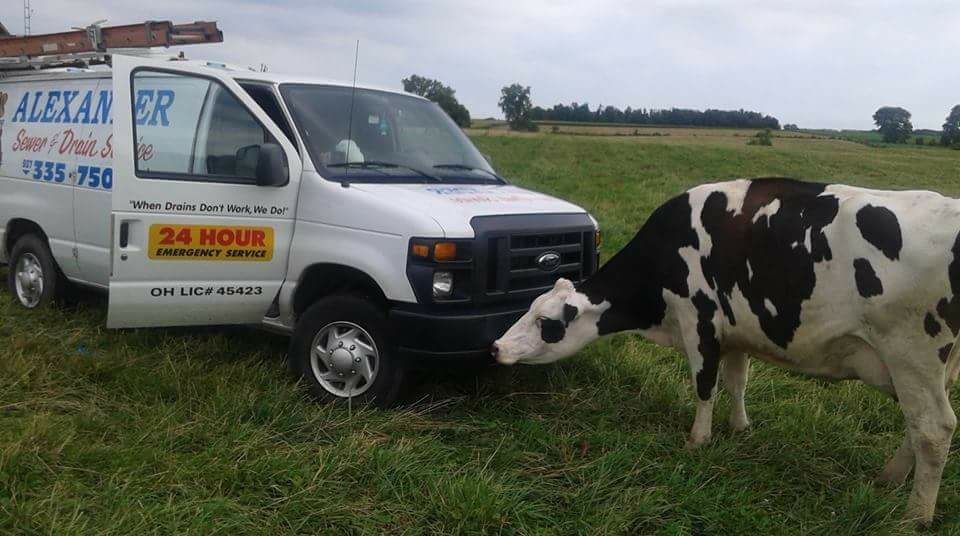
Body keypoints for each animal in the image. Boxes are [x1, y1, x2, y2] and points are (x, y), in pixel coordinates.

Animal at [492, 178, 960, 525]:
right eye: (530, 310)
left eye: (545, 322)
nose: (496, 347)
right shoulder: (738, 331)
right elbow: (736, 382)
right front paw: (740, 428)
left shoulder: (698, 317)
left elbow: (705, 385)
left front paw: (698, 440)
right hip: (922, 367)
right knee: (919, 424)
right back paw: (890, 477)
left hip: (911, 352)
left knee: (933, 429)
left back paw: (916, 516)